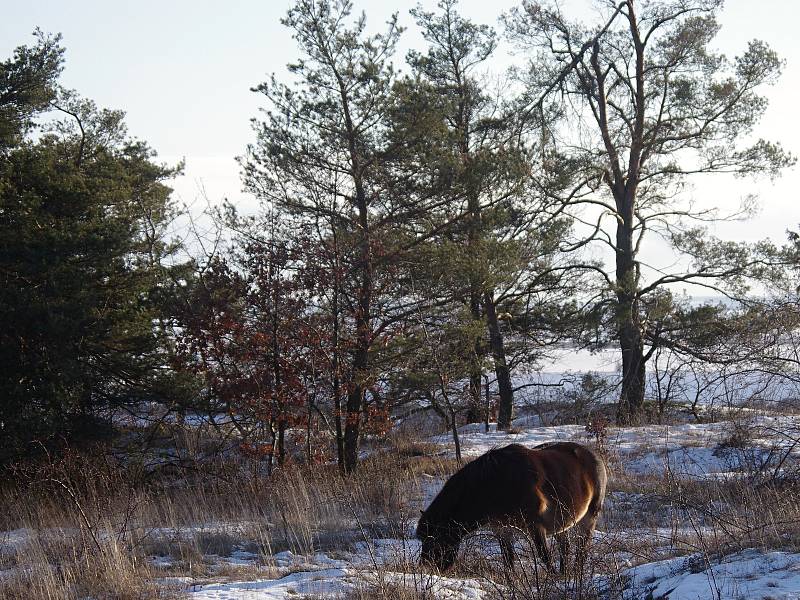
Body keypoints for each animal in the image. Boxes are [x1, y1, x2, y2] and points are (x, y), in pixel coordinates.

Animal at [418, 440, 608, 572]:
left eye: (434, 540)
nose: (426, 567)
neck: (498, 485)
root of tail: (595, 456)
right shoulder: (501, 529)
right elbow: (508, 560)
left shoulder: (535, 526)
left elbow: (545, 557)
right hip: (561, 522)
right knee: (565, 547)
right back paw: (565, 574)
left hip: (590, 516)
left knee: (582, 548)